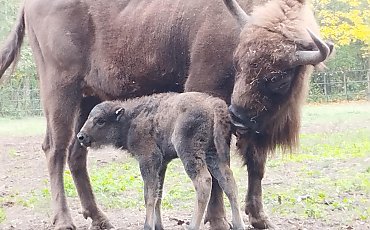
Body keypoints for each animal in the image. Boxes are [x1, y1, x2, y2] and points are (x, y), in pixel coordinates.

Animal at [77, 92, 246, 230]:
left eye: (100, 120)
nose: (81, 136)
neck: (131, 119)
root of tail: (213, 104)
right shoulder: (162, 165)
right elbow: (158, 194)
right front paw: (158, 225)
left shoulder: (148, 160)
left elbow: (149, 195)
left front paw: (148, 226)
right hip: (215, 154)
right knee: (228, 182)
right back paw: (239, 225)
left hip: (190, 153)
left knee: (203, 182)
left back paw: (193, 225)